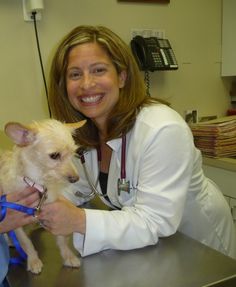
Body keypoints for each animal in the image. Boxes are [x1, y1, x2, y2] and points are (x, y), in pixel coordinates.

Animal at [0, 118, 85, 274]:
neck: (37, 182)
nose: (76, 179)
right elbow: (26, 242)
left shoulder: (53, 211)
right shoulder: (15, 217)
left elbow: (61, 239)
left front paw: (68, 256)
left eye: (73, 153)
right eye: (54, 155)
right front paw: (33, 260)